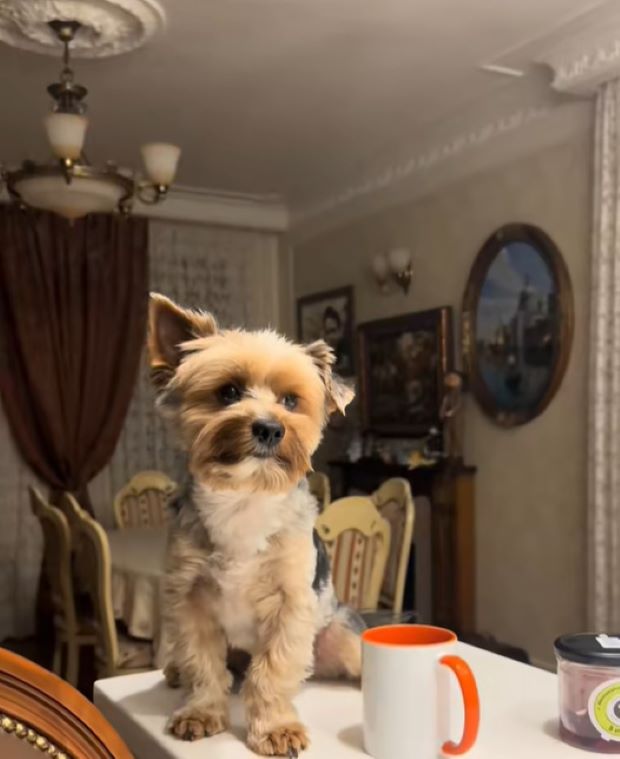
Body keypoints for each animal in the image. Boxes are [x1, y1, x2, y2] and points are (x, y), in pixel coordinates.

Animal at [147, 296, 360, 756]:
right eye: (228, 392)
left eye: (291, 401)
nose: (268, 427)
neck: (245, 496)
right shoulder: (189, 597)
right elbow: (202, 662)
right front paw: (201, 713)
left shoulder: (289, 604)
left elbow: (273, 671)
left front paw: (277, 727)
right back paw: (177, 673)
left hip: (340, 635)